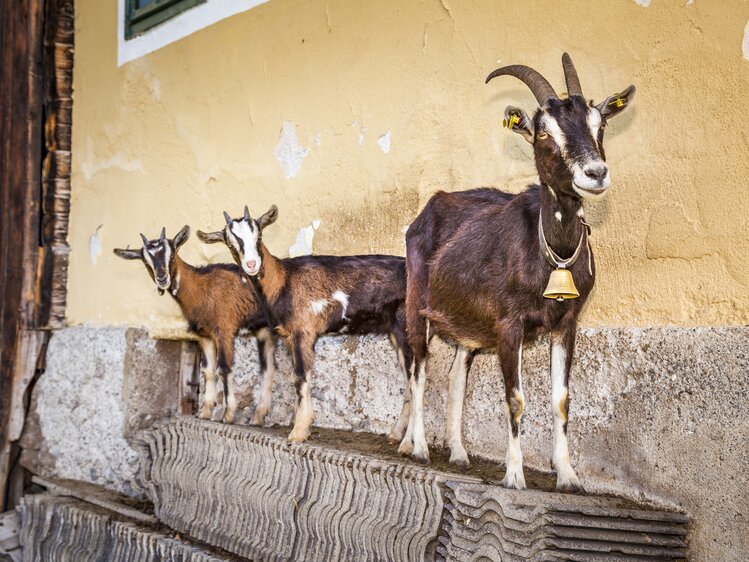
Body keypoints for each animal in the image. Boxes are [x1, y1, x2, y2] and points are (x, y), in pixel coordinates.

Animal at [115, 225, 280, 422]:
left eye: (172, 254)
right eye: (146, 262)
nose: (162, 278)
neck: (202, 288)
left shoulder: (224, 330)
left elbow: (224, 368)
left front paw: (228, 414)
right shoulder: (205, 335)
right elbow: (208, 370)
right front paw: (205, 412)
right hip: (264, 330)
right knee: (268, 369)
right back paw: (258, 416)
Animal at [196, 206, 412, 442]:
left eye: (259, 236)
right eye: (229, 242)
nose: (252, 265)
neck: (283, 281)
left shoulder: (303, 331)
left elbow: (300, 377)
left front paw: (298, 431)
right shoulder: (291, 336)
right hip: (395, 333)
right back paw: (396, 434)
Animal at [400, 53, 636, 490]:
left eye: (600, 124)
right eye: (543, 133)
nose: (596, 173)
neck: (552, 254)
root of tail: (431, 205)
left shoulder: (567, 323)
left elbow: (561, 400)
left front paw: (568, 475)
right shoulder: (509, 324)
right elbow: (515, 398)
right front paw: (514, 475)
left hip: (467, 326)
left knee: (456, 377)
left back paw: (457, 452)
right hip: (416, 306)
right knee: (418, 370)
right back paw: (419, 446)